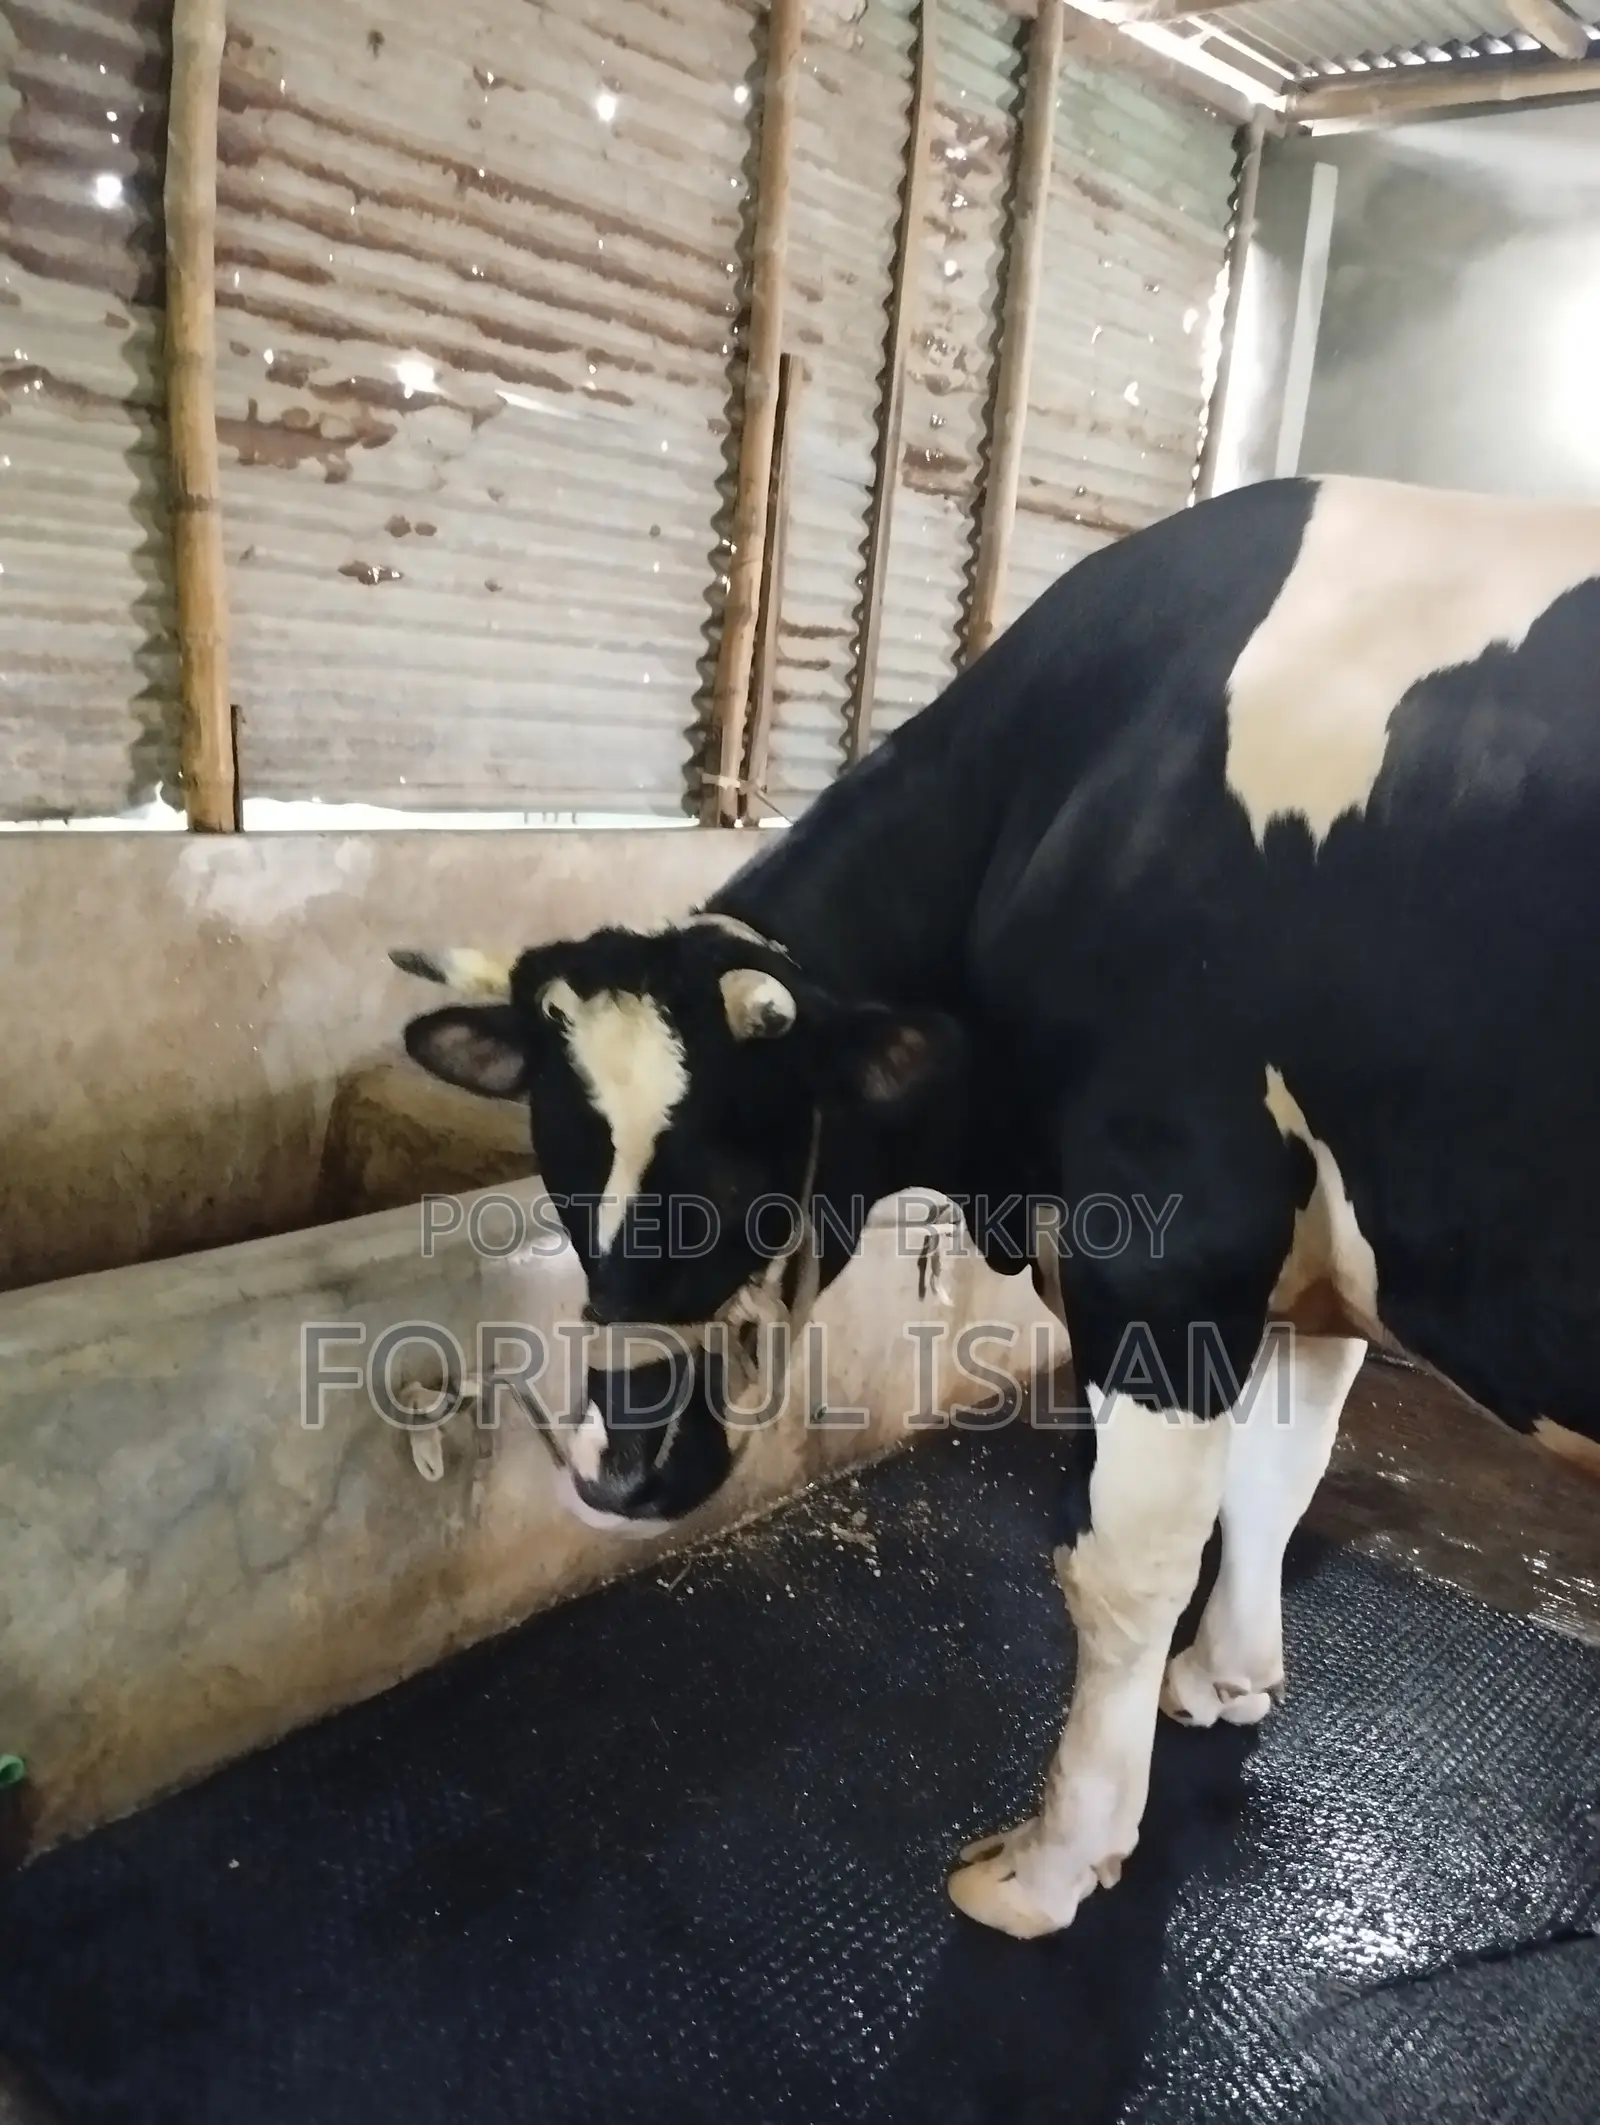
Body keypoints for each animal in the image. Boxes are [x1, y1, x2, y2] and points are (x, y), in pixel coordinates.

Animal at [392, 473, 1600, 1941]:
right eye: (562, 1170)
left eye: (742, 1177)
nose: (615, 1468)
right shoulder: (1312, 1259)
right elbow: (1279, 1478)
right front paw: (1227, 1678)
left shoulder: (1172, 1224)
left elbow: (1125, 1567)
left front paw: (1053, 1862)